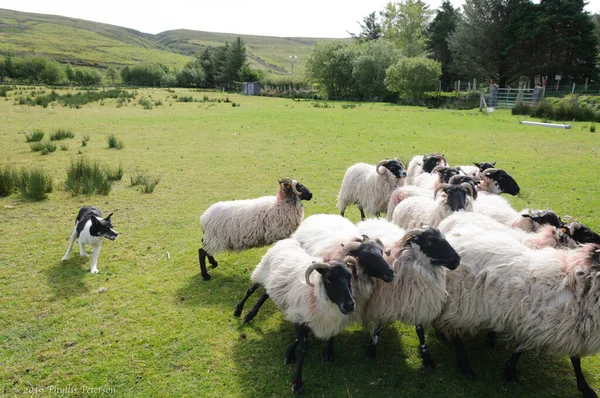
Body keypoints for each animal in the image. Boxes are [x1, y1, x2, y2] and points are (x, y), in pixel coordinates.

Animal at [240, 238, 360, 394]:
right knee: (251, 289)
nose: (349, 305)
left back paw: (251, 312)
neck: (317, 295)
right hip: (261, 272)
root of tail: (286, 240)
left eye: (349, 277)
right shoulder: (299, 317)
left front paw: (327, 353)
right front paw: (296, 382)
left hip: (273, 284)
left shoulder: (317, 319)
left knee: (265, 294)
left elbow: (323, 337)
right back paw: (241, 312)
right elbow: (303, 348)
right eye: (329, 280)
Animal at [358, 227, 462, 366]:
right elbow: (379, 327)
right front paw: (371, 349)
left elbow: (420, 332)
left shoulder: (418, 303)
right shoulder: (384, 304)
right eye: (431, 241)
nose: (457, 259)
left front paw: (426, 357)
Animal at [434, 227, 600, 398]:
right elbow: (523, 349)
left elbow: (574, 359)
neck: (578, 283)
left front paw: (585, 387)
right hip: (460, 305)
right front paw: (510, 372)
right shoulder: (541, 323)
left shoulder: (568, 327)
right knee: (454, 332)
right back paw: (465, 366)